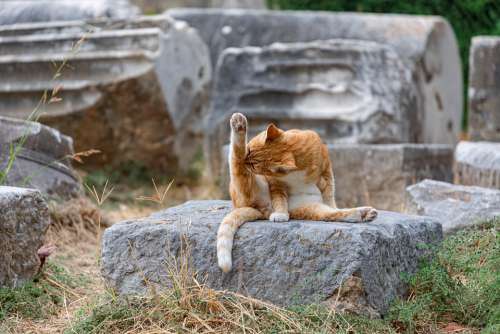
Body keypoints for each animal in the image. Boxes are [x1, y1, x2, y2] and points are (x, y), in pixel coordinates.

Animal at [217, 113, 376, 272]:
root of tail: (261, 210)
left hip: (311, 208)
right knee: (236, 159)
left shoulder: (326, 173)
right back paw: (239, 124)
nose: (246, 160)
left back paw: (364, 214)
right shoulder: (276, 183)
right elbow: (279, 199)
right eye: (249, 150)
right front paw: (280, 214)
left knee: (334, 213)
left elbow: (329, 194)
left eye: (254, 165)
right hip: (248, 184)